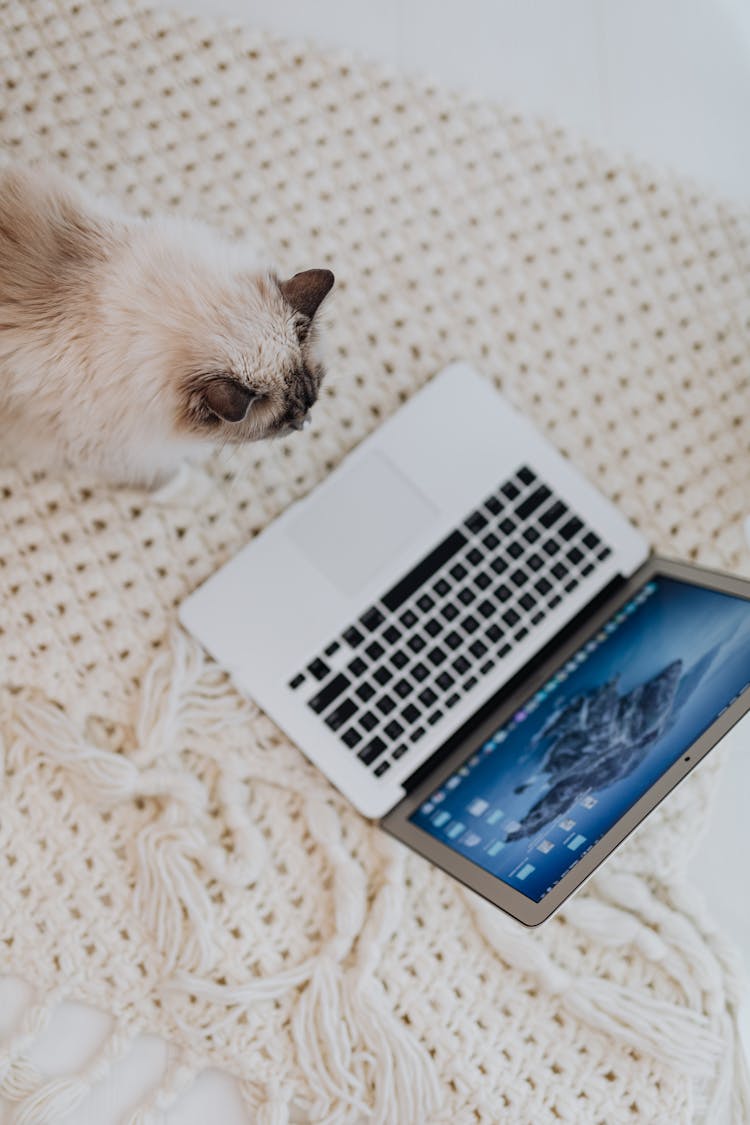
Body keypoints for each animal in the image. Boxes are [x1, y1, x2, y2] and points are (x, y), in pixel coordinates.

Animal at [0, 164, 335, 488]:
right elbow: (169, 478)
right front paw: (199, 487)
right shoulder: (107, 451)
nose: (306, 423)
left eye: (312, 401)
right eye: (282, 423)